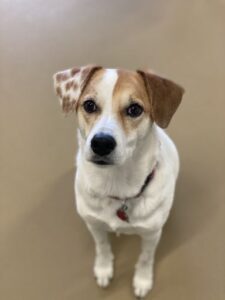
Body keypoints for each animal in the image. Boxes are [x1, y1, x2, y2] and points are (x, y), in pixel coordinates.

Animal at [53, 65, 185, 298]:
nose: (101, 143)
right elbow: (102, 246)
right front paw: (104, 268)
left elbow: (145, 258)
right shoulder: (93, 224)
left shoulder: (151, 234)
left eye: (134, 109)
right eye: (89, 105)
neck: (116, 186)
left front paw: (143, 280)